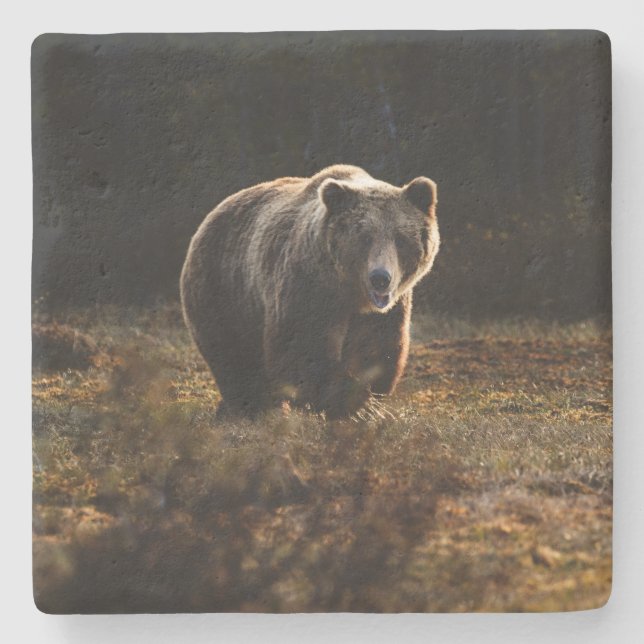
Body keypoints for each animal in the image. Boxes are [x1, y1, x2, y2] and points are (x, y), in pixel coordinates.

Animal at [180, 164, 439, 419]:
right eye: (364, 238)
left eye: (401, 238)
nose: (380, 279)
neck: (349, 293)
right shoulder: (307, 288)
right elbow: (302, 349)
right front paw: (349, 403)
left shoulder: (385, 312)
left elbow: (375, 350)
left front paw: (364, 402)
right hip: (224, 289)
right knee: (232, 355)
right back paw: (250, 407)